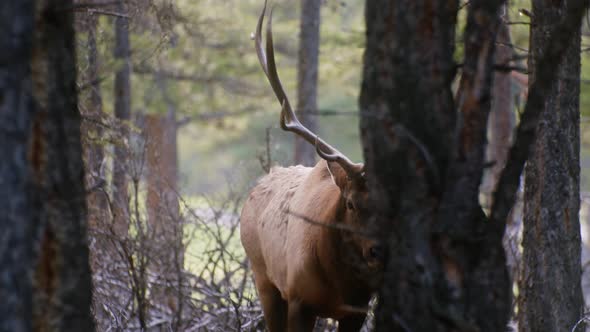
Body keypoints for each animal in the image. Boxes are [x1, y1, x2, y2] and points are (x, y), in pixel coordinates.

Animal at [239, 1, 384, 330]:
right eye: (351, 203)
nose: (377, 250)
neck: (339, 284)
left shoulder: (358, 310)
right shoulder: (299, 298)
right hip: (263, 277)